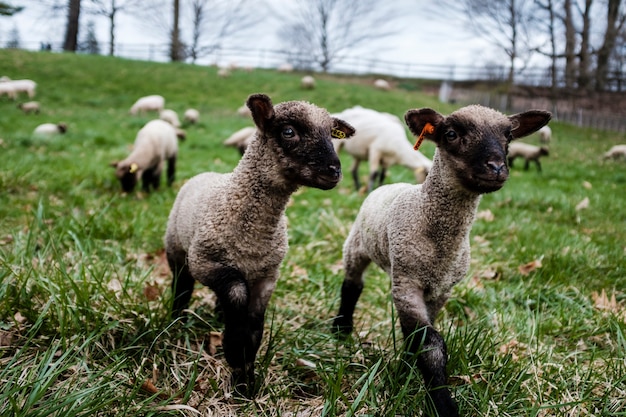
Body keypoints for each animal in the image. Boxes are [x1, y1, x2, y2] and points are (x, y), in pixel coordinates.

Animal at [163, 92, 354, 394]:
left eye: (331, 135)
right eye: (288, 131)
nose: (334, 171)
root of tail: (206, 174)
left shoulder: (266, 277)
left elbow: (254, 329)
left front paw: (246, 384)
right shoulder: (206, 262)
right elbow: (236, 294)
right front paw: (233, 351)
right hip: (177, 250)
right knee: (182, 287)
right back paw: (176, 320)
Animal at [330, 103, 548, 412]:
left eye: (508, 136)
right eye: (451, 134)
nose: (496, 168)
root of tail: (390, 185)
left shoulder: (441, 290)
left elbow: (416, 336)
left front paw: (407, 369)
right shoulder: (407, 283)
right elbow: (430, 345)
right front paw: (442, 403)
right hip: (357, 245)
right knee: (352, 284)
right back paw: (341, 328)